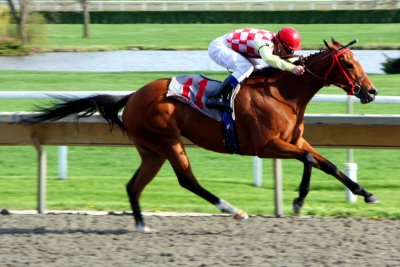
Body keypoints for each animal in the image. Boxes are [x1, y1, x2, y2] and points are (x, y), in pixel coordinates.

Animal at [23, 38, 380, 233]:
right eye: (349, 63)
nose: (371, 92)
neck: (281, 93)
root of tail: (133, 95)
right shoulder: (266, 146)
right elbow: (308, 160)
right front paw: (298, 199)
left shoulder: (293, 140)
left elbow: (327, 164)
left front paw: (365, 193)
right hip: (169, 142)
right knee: (188, 181)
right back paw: (234, 210)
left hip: (152, 150)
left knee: (134, 185)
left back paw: (141, 224)